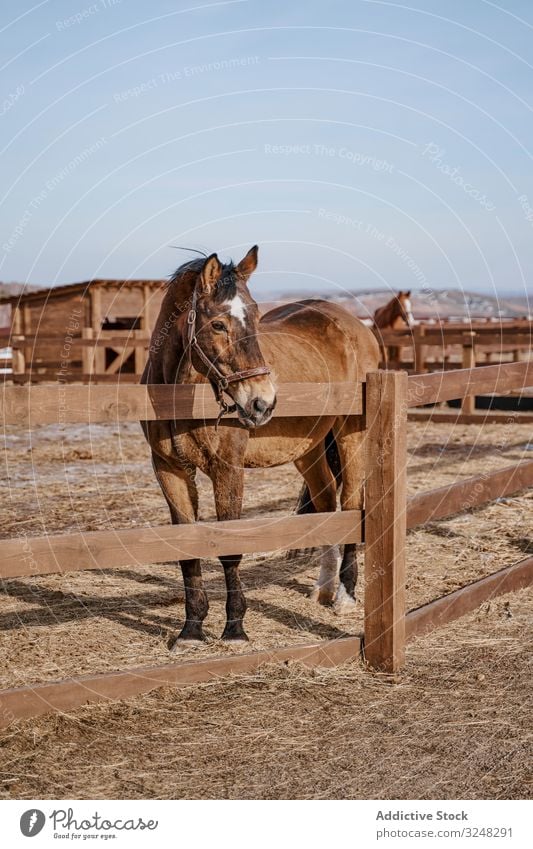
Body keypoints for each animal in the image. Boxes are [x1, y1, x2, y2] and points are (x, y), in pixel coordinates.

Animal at [141, 248, 380, 644]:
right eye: (218, 325)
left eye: (254, 317)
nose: (262, 402)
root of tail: (355, 325)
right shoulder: (169, 470)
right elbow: (187, 551)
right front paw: (191, 628)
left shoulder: (227, 469)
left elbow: (229, 550)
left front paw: (235, 627)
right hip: (308, 449)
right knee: (326, 503)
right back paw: (324, 588)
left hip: (352, 436)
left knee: (351, 506)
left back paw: (344, 596)